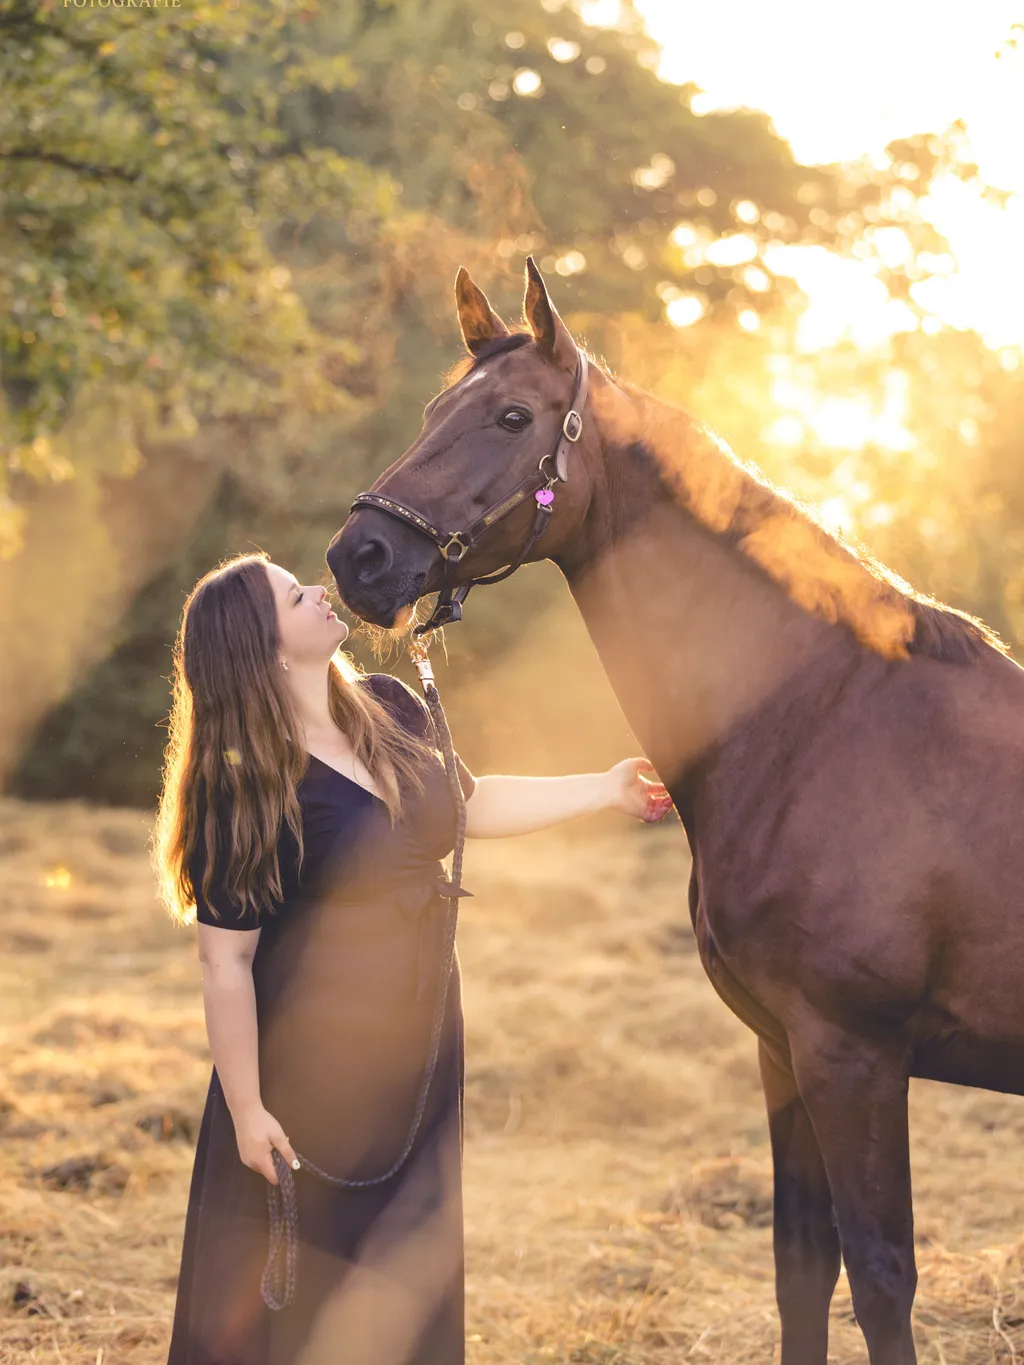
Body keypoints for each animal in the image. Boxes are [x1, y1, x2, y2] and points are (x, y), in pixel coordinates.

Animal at [326, 258, 1024, 1365]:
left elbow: (880, 1278)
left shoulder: (856, 1057)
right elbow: (801, 1268)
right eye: (437, 409)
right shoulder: (784, 1049)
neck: (822, 722)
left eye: (512, 416)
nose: (361, 556)